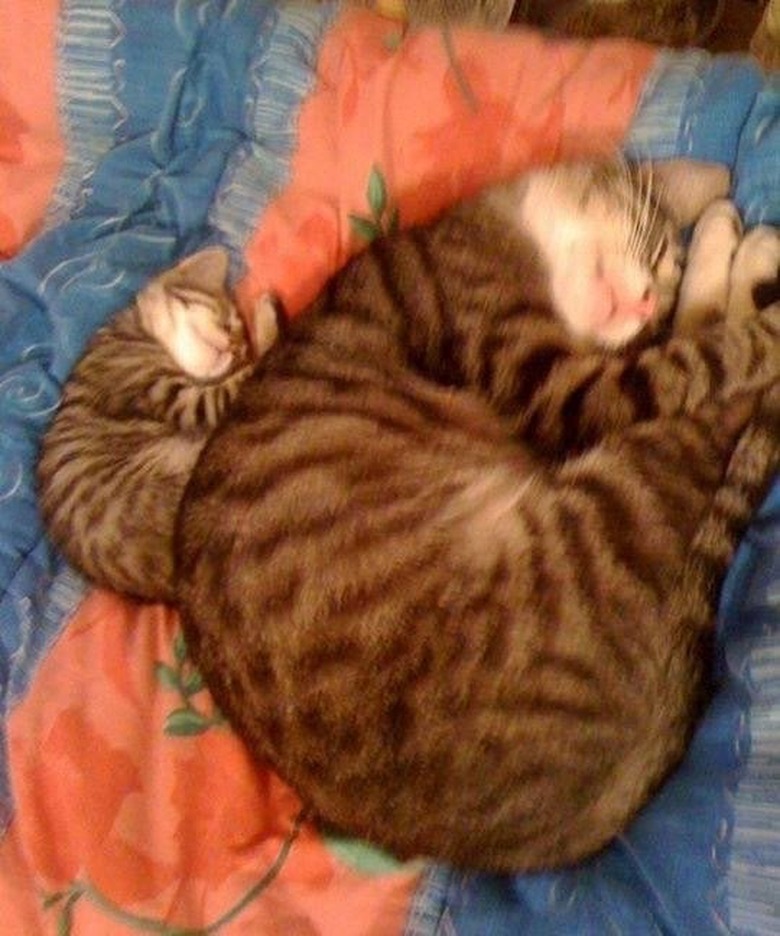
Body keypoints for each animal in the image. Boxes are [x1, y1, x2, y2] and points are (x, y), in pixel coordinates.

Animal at [37, 247, 280, 600]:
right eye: (228, 323)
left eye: (239, 350)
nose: (235, 348)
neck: (139, 332)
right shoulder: (170, 394)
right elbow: (243, 378)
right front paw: (267, 318)